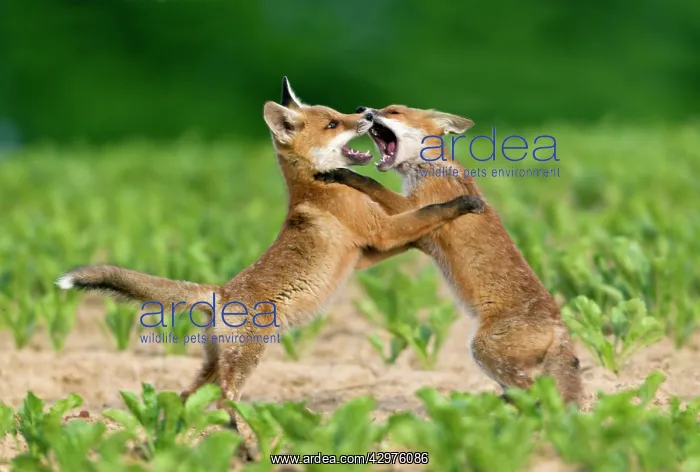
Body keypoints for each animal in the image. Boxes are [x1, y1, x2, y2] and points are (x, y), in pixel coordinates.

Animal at [55, 80, 486, 433]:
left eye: (340, 115)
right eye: (334, 123)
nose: (365, 112)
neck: (317, 186)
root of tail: (221, 292)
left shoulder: (369, 250)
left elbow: (417, 227)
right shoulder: (382, 232)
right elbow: (428, 212)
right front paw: (463, 204)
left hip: (214, 364)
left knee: (187, 396)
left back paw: (177, 434)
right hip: (246, 359)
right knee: (226, 400)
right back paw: (241, 438)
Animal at [315, 104, 583, 406]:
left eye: (393, 111)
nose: (363, 109)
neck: (427, 168)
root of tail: (560, 326)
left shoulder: (414, 207)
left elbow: (373, 184)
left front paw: (343, 175)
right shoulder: (417, 236)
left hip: (482, 349)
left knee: (531, 391)